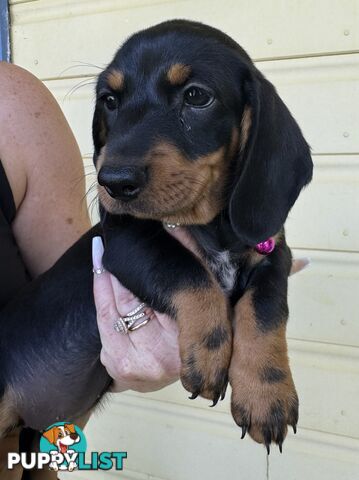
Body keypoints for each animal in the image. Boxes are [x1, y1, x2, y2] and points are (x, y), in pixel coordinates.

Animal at [0, 19, 312, 454]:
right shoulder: (125, 242)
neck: (208, 225)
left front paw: (267, 394)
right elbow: (190, 273)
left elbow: (266, 309)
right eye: (110, 101)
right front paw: (208, 353)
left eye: (196, 96)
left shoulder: (273, 253)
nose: (113, 182)